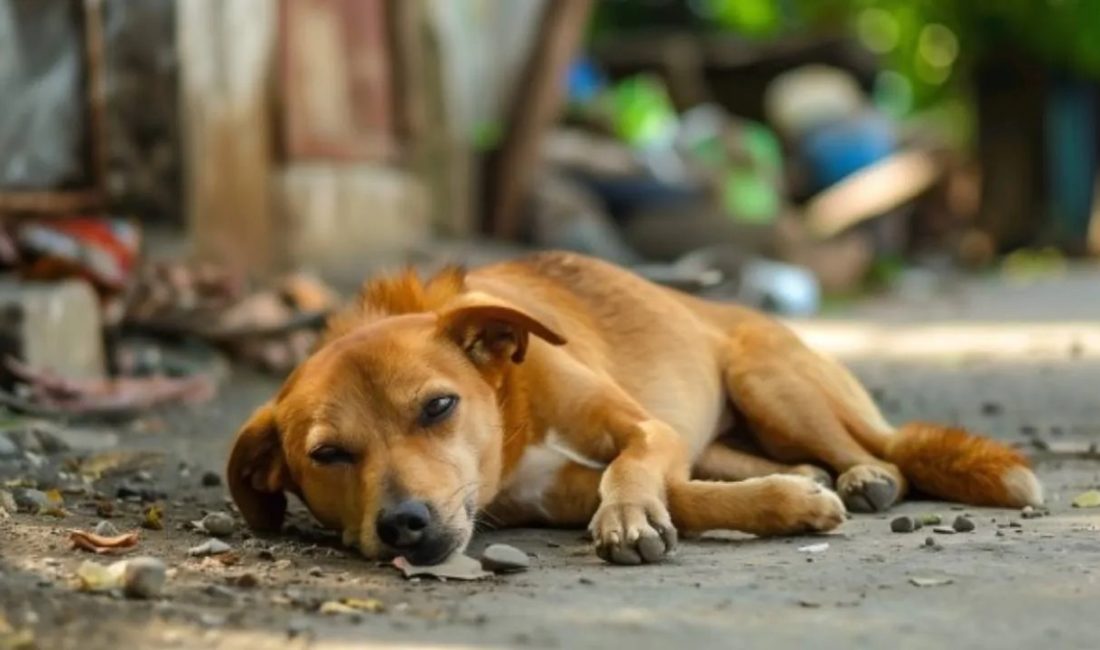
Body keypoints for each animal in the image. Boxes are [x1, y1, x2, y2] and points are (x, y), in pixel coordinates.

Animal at [225, 251, 1038, 567]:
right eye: (327, 455)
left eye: (438, 407)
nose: (404, 525)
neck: (513, 411)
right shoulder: (551, 494)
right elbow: (688, 495)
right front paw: (787, 503)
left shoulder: (646, 429)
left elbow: (633, 468)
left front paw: (627, 518)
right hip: (730, 428)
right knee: (755, 460)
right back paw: (810, 476)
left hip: (770, 381)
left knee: (877, 448)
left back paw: (865, 475)